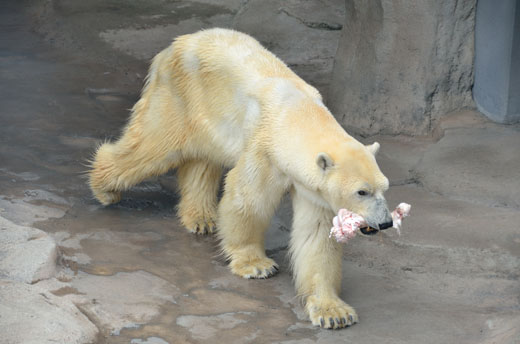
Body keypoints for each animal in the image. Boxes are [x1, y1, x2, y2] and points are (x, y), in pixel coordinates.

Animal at [89, 27, 392, 328]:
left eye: (384, 188)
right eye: (361, 192)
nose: (386, 222)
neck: (296, 113)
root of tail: (176, 44)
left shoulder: (312, 188)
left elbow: (316, 233)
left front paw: (333, 312)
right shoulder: (264, 149)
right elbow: (248, 200)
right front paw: (256, 265)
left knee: (202, 159)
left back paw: (201, 218)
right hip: (180, 95)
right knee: (155, 146)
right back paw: (104, 187)